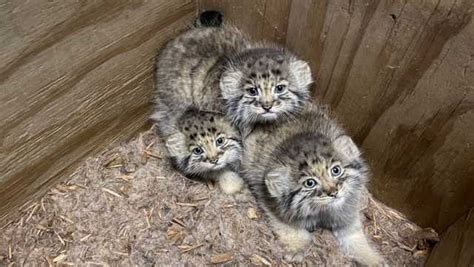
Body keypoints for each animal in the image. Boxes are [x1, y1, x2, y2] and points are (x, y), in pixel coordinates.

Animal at [243, 104, 384, 266]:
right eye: (310, 183)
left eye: (336, 170)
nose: (334, 192)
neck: (322, 212)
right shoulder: (270, 203)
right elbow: (289, 228)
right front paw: (297, 246)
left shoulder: (348, 211)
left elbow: (355, 236)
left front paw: (371, 258)